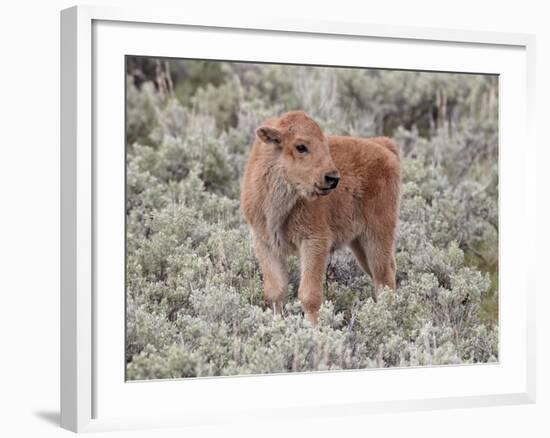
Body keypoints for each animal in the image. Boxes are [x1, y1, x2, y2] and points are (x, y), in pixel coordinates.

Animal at [242, 111, 402, 326]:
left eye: (324, 144)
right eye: (301, 146)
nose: (332, 178)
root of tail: (385, 147)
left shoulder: (314, 242)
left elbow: (309, 295)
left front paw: (314, 329)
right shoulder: (265, 243)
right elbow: (275, 291)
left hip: (377, 236)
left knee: (384, 277)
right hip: (359, 244)